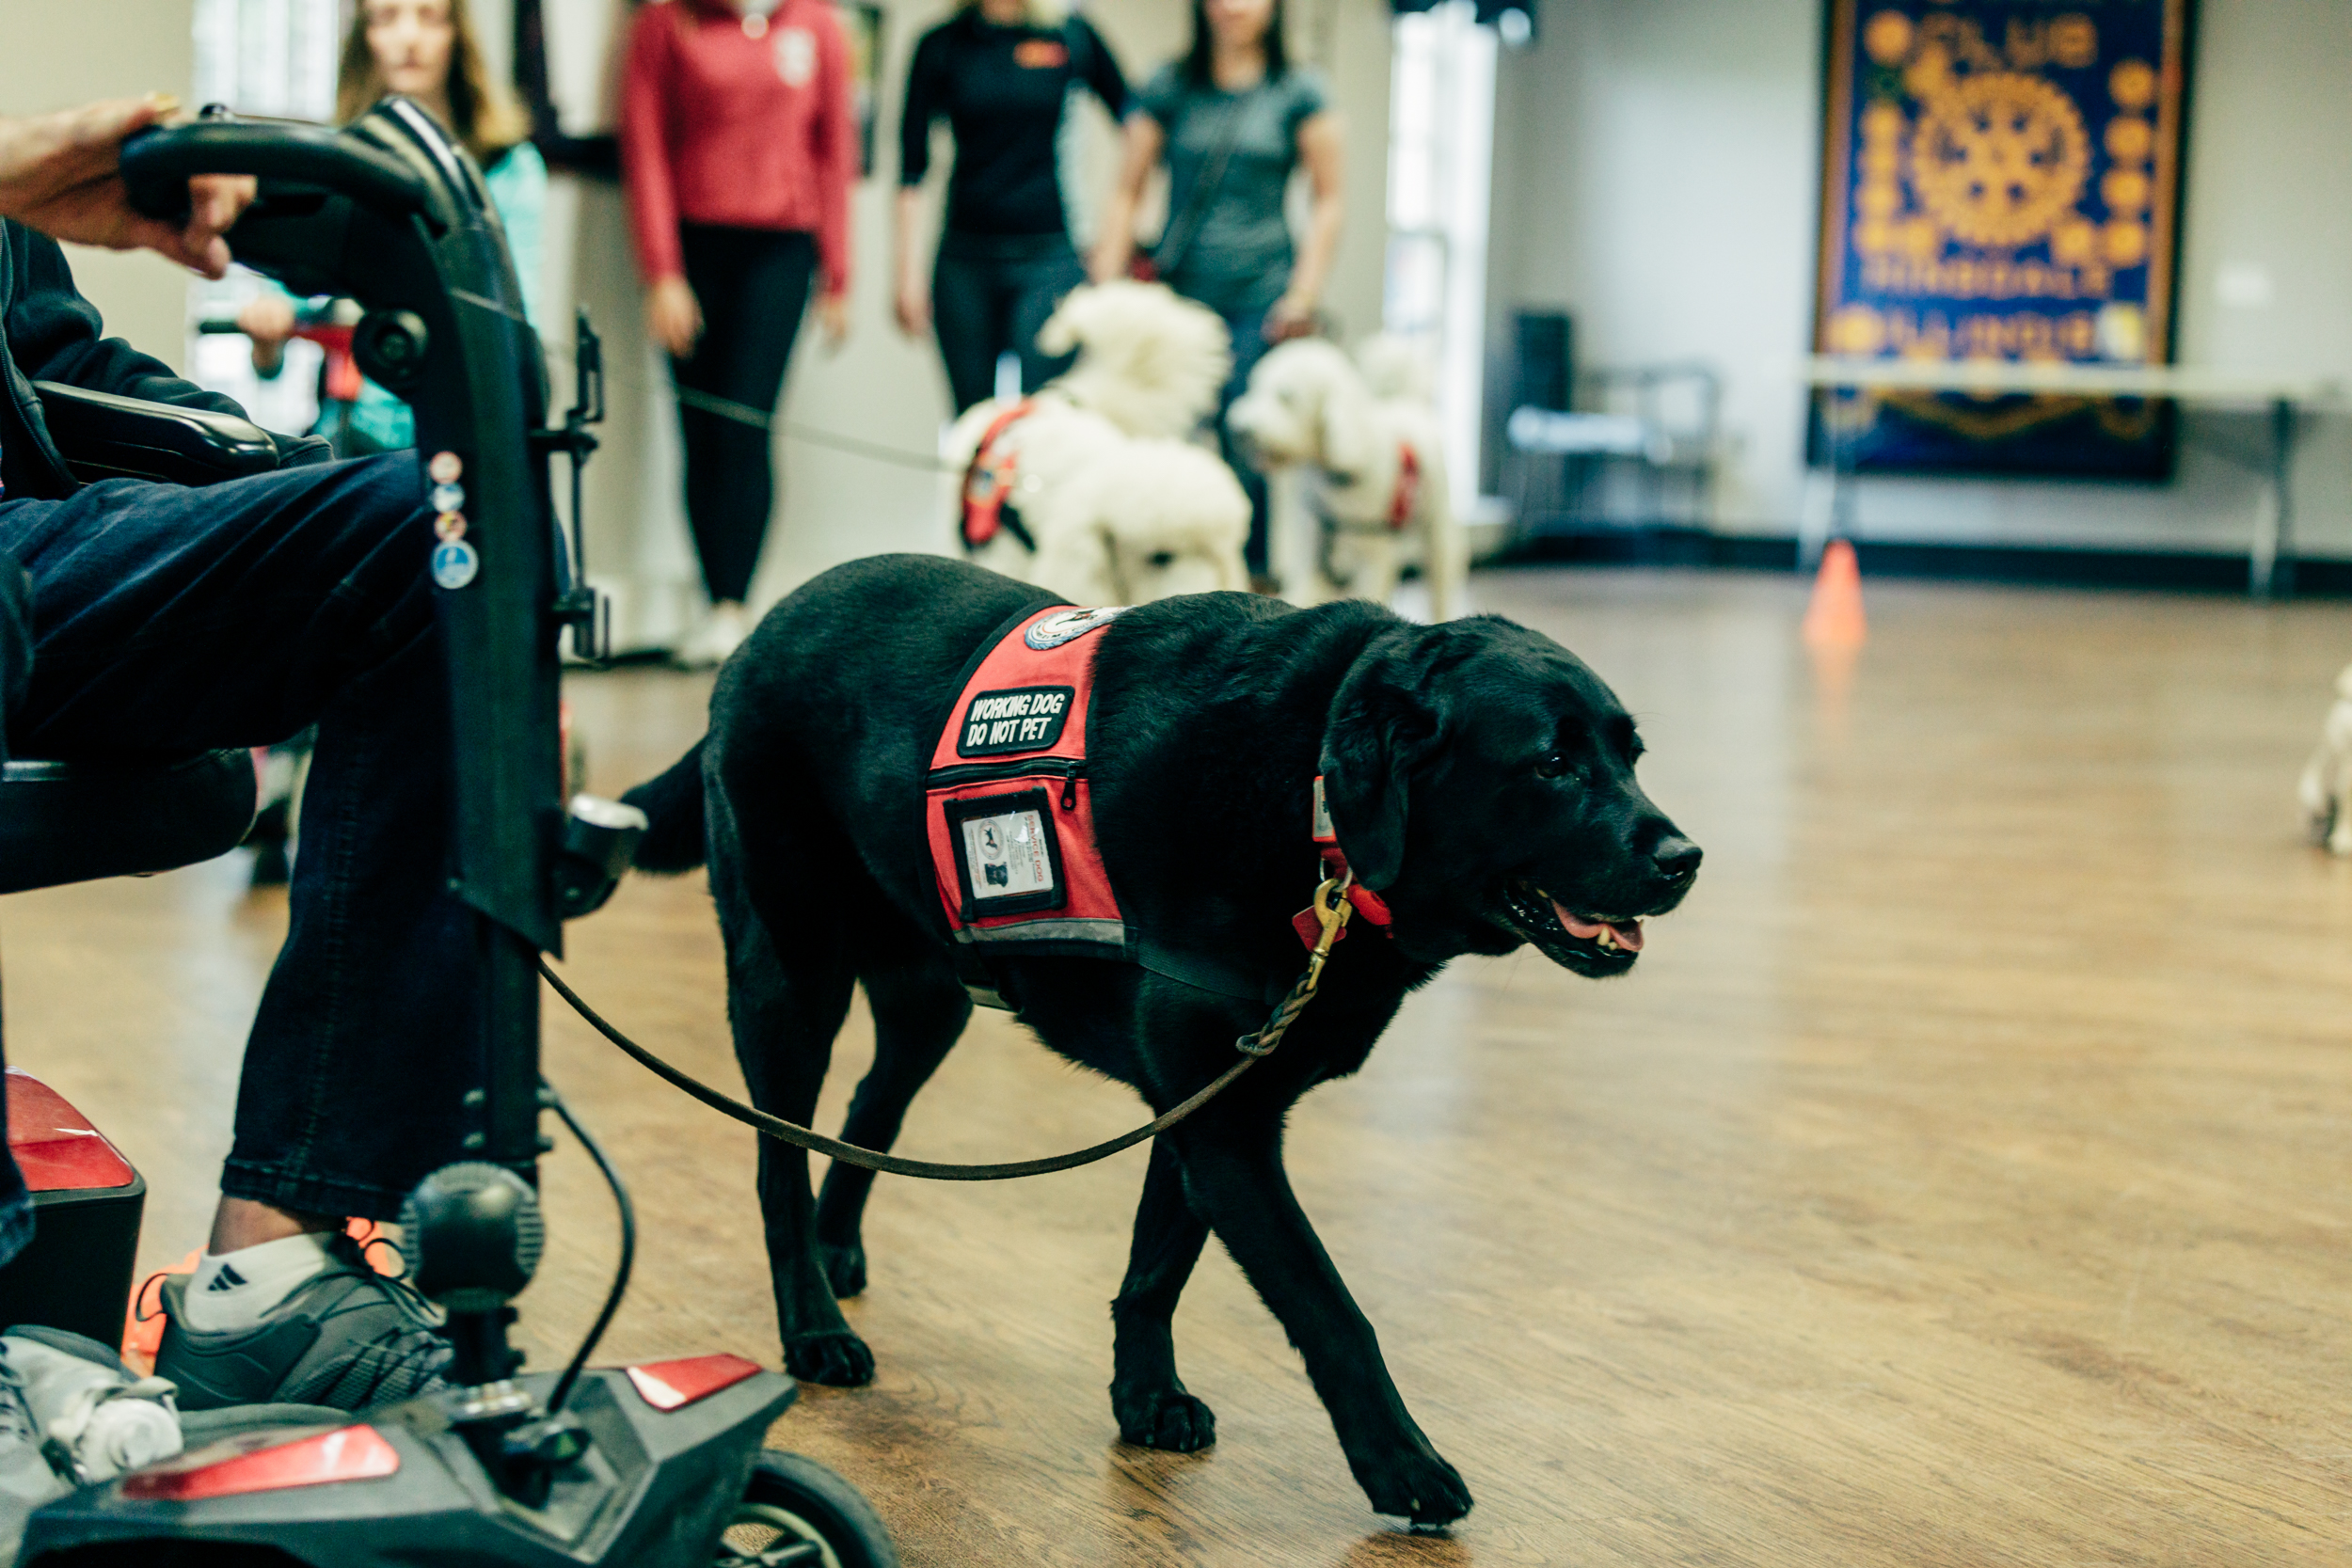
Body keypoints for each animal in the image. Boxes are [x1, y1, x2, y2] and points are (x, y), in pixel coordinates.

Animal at [1223, 333, 1458, 620]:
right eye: (1255, 387)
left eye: (1286, 397)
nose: (1237, 429)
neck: (1331, 473)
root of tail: (1408, 402)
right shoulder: (1313, 553)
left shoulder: (1373, 558)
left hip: (1437, 533)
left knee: (1440, 586)